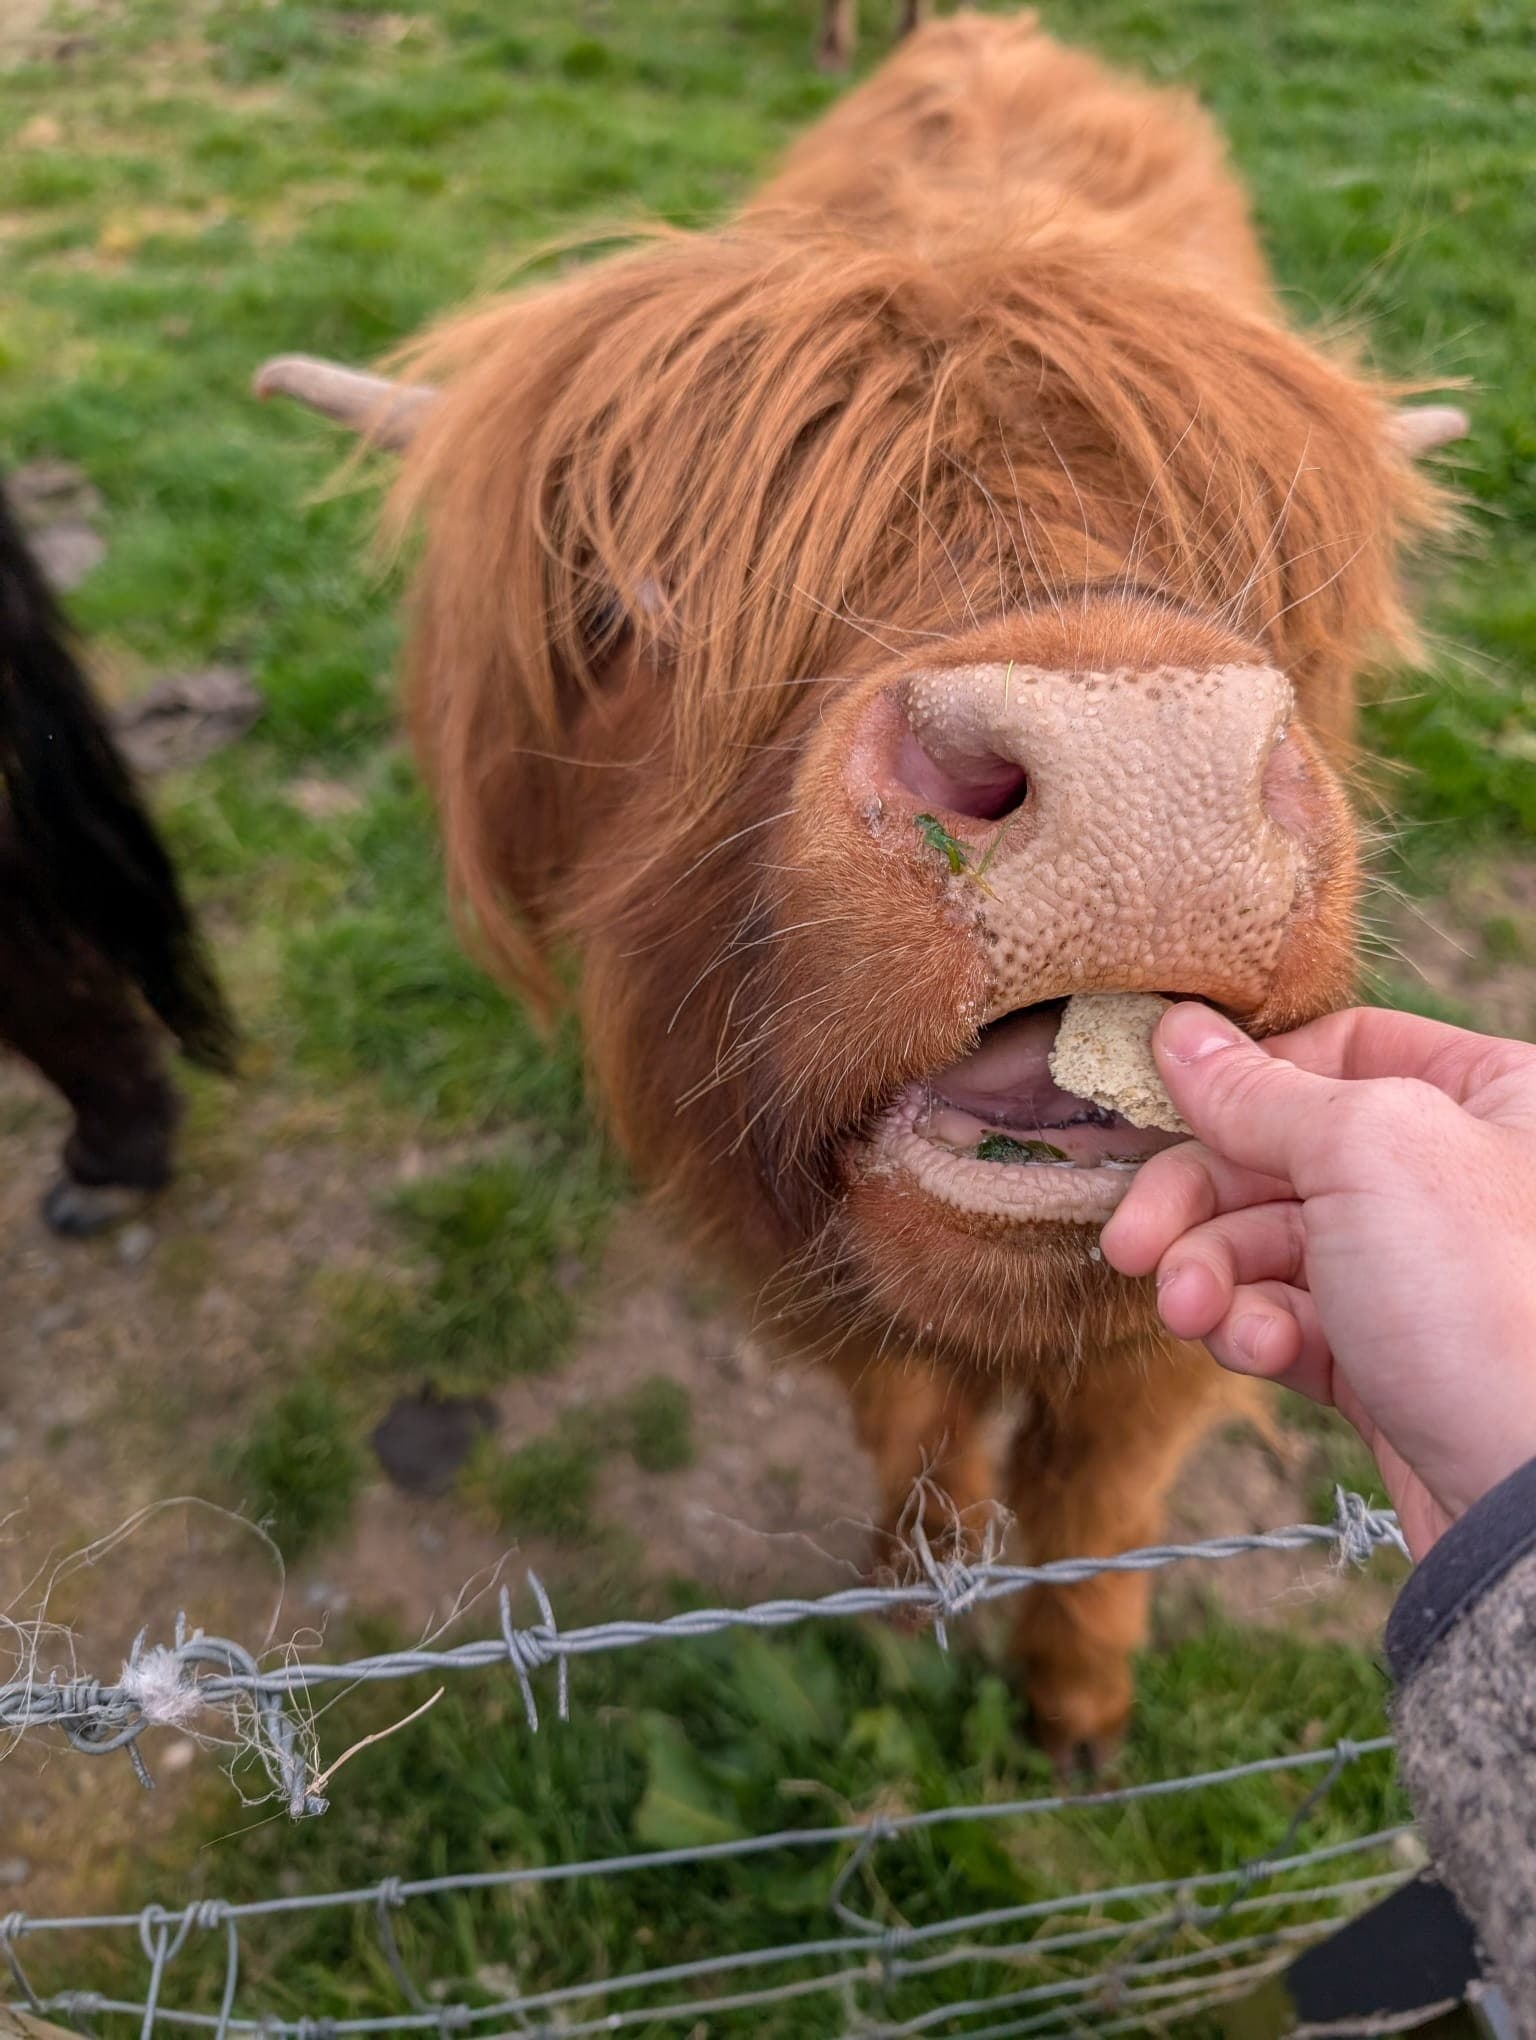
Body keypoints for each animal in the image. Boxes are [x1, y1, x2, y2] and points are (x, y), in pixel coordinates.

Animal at [256, 11, 1464, 1765]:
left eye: (1271, 570)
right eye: (635, 602)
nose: (1140, 759)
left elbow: (1107, 1479)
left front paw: (1078, 1699)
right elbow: (912, 1419)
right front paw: (913, 1589)